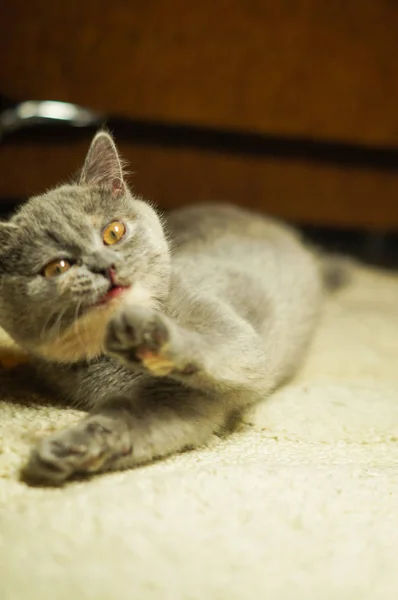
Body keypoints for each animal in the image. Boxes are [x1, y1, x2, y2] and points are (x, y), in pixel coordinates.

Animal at [0, 131, 324, 482]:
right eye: (57, 267)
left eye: (113, 232)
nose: (105, 266)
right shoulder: (177, 403)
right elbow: (138, 420)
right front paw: (70, 448)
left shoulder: (234, 334)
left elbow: (226, 347)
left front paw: (146, 336)